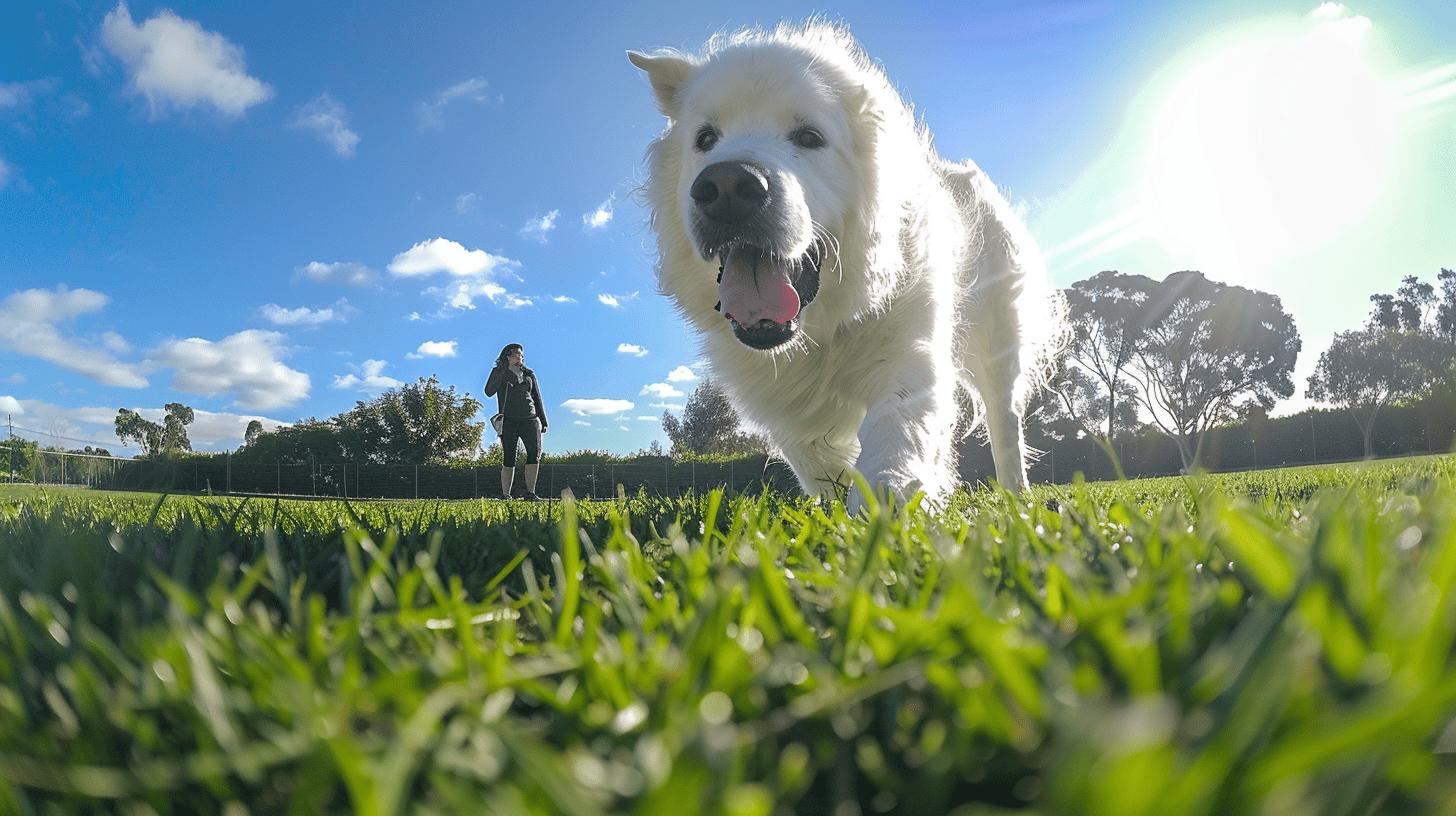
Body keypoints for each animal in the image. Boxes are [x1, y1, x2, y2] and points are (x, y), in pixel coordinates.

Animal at [631, 22, 1065, 504]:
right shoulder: (784, 405)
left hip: (998, 343)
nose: (726, 187)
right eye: (706, 139)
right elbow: (818, 461)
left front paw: (886, 504)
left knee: (1005, 421)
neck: (822, 327)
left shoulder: (908, 354)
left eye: (809, 137)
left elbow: (895, 440)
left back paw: (1017, 496)